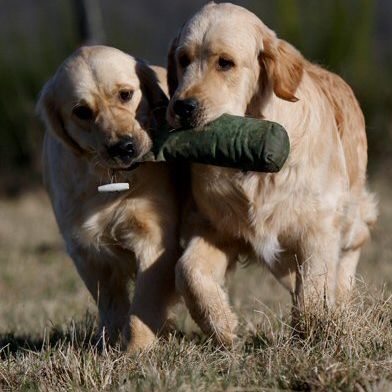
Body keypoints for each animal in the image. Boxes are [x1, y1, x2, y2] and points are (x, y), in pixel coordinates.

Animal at [37, 45, 178, 350]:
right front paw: (112, 346)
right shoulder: (87, 252)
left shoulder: (153, 240)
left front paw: (137, 350)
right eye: (82, 111)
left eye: (126, 94)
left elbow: (143, 306)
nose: (123, 148)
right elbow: (112, 306)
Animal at [168, 3, 376, 346]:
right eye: (183, 59)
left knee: (353, 246)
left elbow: (315, 285)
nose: (183, 107)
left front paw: (313, 333)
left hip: (350, 212)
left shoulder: (319, 226)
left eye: (225, 63)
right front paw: (222, 325)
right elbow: (188, 271)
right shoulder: (216, 225)